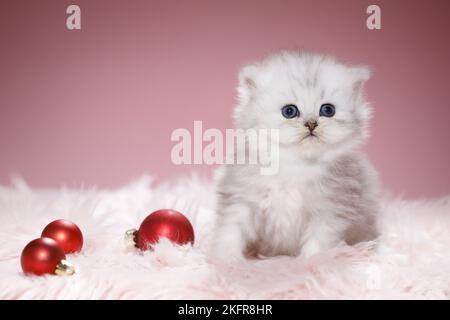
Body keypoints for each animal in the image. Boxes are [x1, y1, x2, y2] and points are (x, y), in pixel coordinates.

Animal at [212, 49, 380, 260]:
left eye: (328, 110)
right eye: (289, 111)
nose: (311, 123)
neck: (296, 164)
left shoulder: (329, 211)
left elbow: (318, 243)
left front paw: (311, 262)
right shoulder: (242, 199)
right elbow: (231, 231)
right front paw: (227, 260)